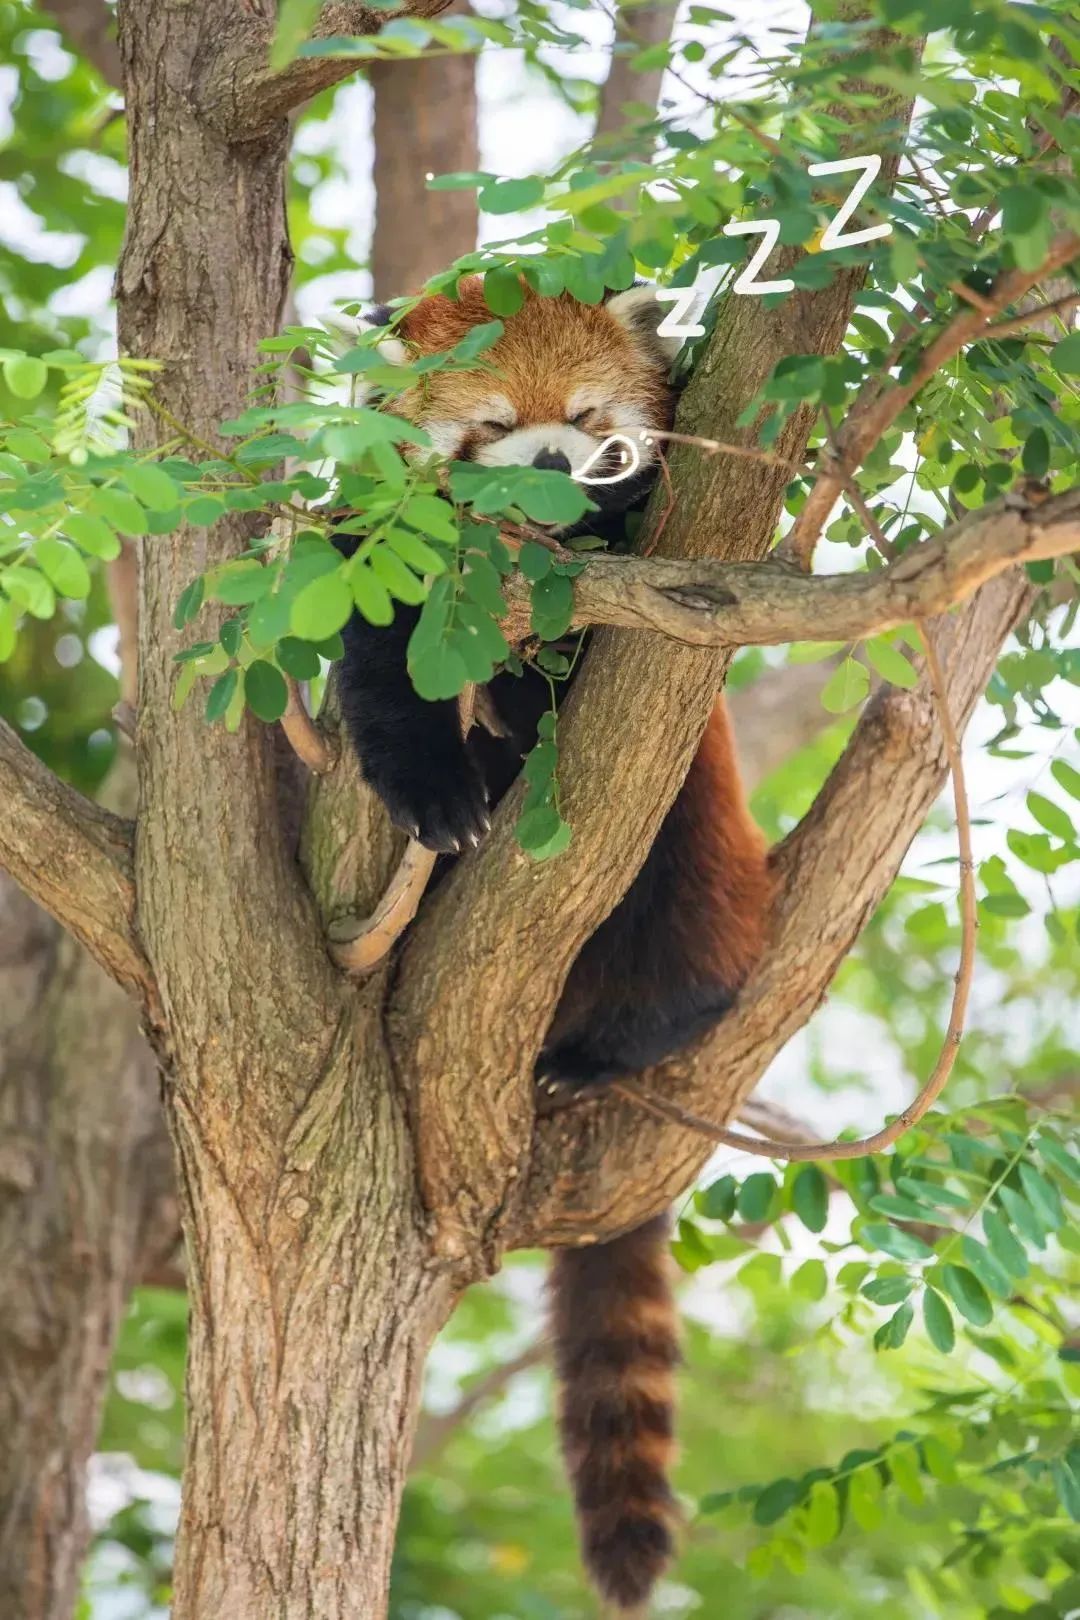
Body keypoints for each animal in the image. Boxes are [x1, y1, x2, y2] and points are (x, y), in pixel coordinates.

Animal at [333, 275, 773, 1607]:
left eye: (586, 419)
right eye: (486, 425)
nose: (546, 466)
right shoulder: (381, 563)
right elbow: (385, 672)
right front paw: (440, 788)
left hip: (692, 839)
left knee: (696, 944)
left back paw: (606, 1050)